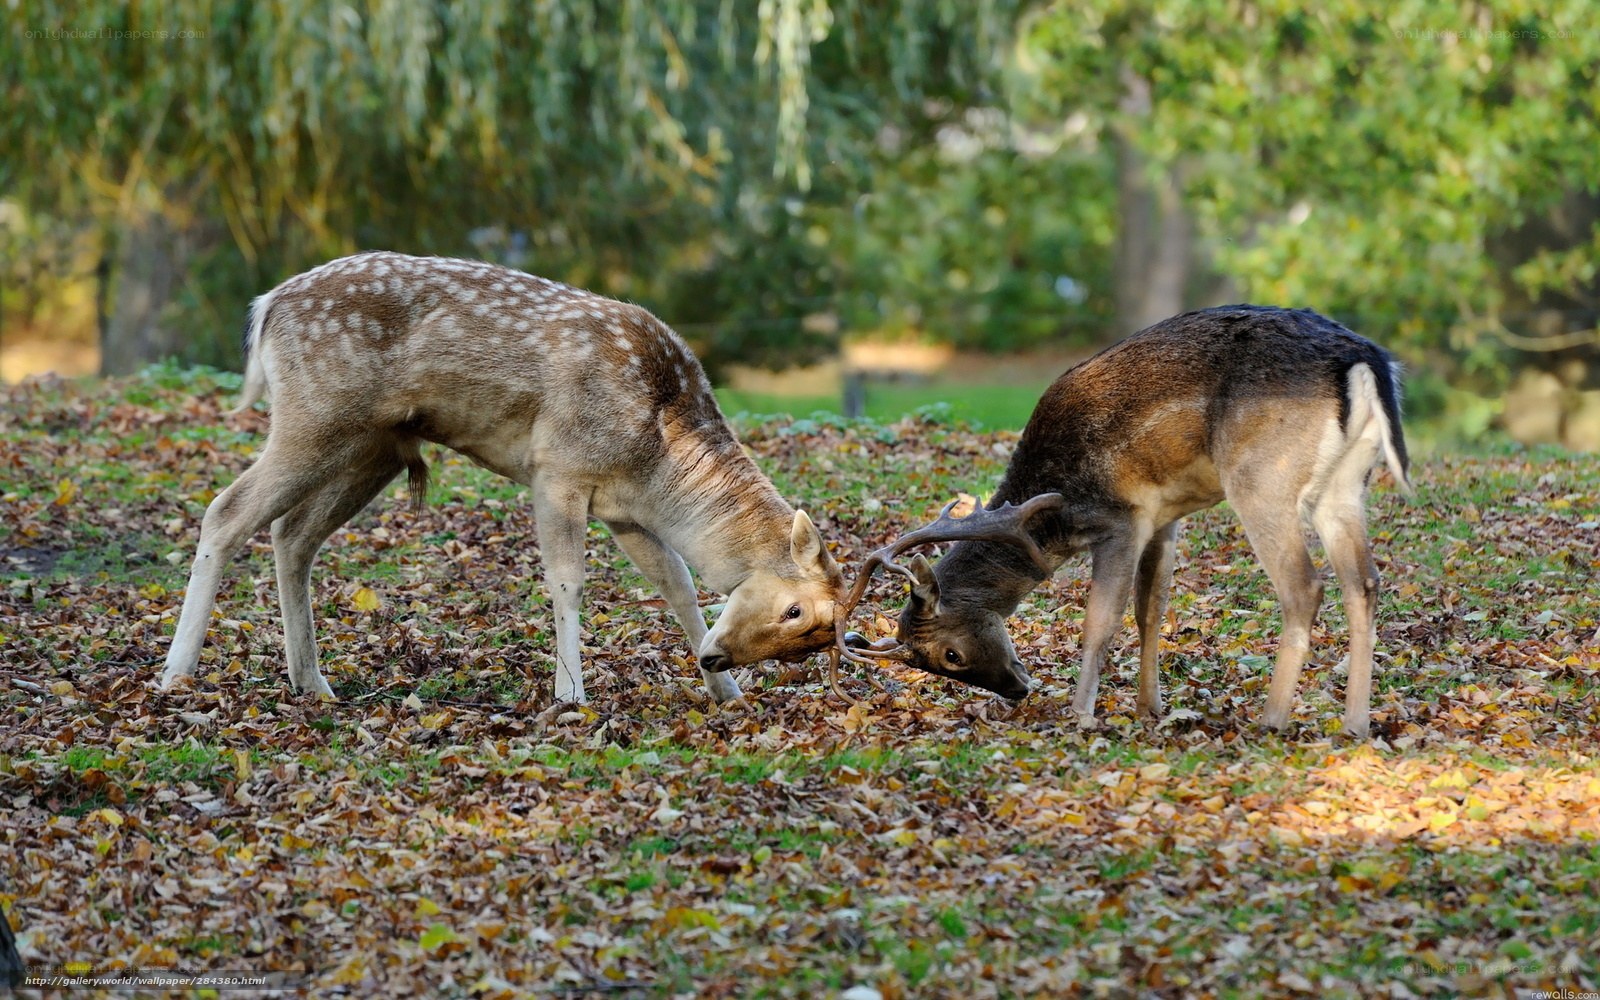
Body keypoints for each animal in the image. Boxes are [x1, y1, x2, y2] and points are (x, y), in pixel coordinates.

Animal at [159, 251, 846, 705]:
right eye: (793, 610)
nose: (717, 656)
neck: (660, 455)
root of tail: (264, 307)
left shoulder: (627, 510)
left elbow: (676, 583)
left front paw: (726, 692)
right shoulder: (558, 469)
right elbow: (569, 581)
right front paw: (570, 695)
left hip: (370, 448)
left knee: (292, 533)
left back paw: (313, 682)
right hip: (313, 418)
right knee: (225, 511)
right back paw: (176, 675)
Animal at [832, 305, 1411, 739]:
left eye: (949, 655)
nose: (1018, 689)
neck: (1051, 512)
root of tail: (1365, 363)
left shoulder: (1120, 518)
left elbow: (1101, 619)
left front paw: (1080, 714)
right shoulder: (1163, 515)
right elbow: (1149, 609)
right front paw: (1148, 708)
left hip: (1262, 476)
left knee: (1305, 587)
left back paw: (1271, 720)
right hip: (1346, 485)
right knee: (1364, 582)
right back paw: (1355, 725)